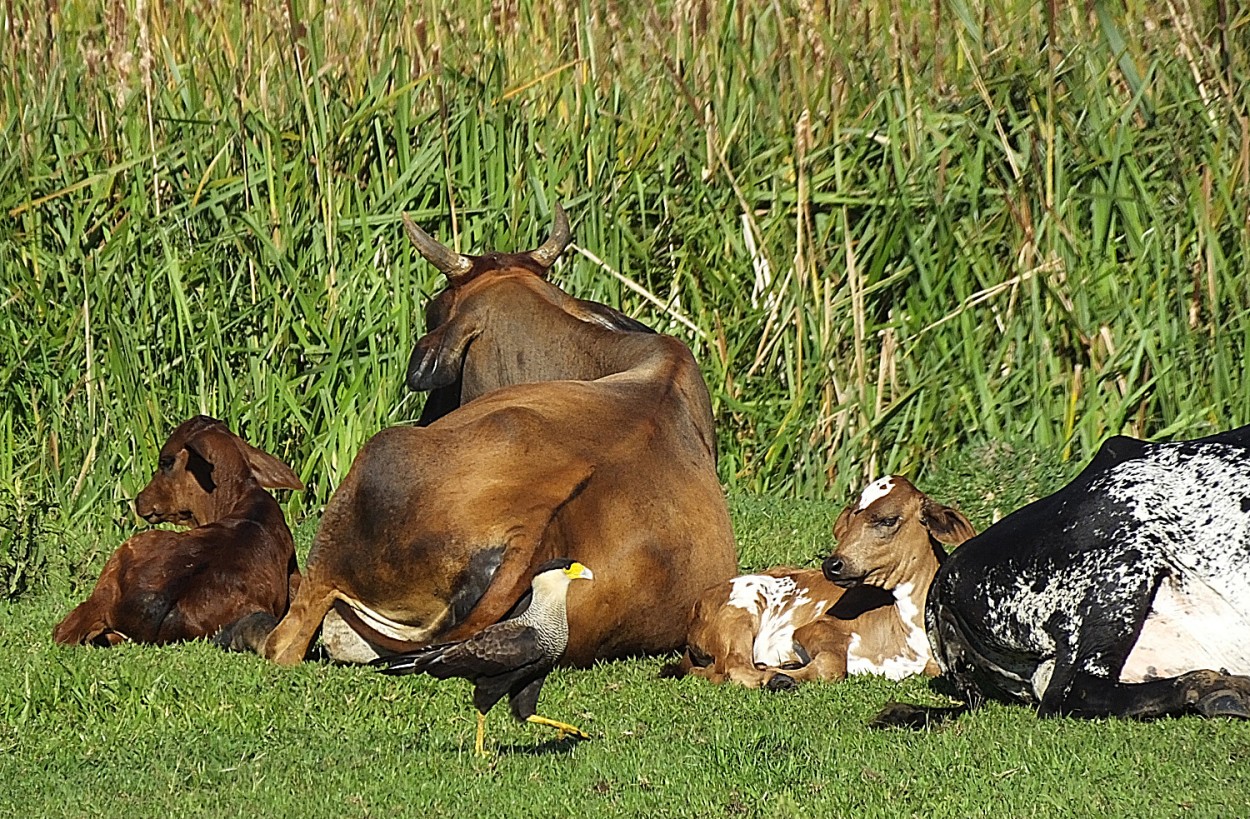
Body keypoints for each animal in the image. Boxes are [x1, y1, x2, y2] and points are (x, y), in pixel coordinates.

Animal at [675, 477, 975, 690]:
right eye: (852, 517)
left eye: (889, 520)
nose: (832, 564)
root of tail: (699, 605)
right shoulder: (815, 628)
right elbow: (831, 666)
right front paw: (784, 674)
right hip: (739, 612)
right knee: (733, 666)